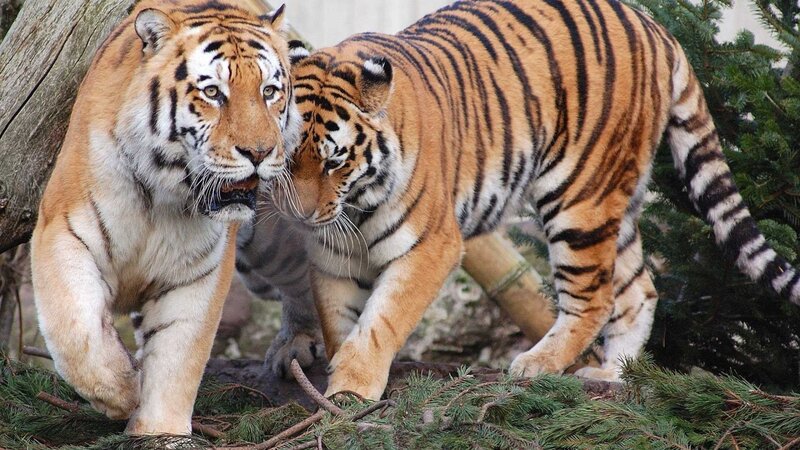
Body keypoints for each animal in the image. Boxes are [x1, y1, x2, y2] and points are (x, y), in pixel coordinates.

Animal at [30, 0, 301, 435]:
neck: (164, 193)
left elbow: (178, 356)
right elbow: (76, 329)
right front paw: (122, 391)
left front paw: (160, 431)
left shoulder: (199, 272)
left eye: (269, 92)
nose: (259, 152)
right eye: (213, 93)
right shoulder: (63, 230)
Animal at [274, 0, 800, 400]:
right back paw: (612, 375)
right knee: (639, 289)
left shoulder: (430, 246)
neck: (354, 204)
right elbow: (339, 321)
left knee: (595, 298)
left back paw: (536, 365)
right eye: (287, 156)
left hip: (579, 198)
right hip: (617, 200)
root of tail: (653, 26)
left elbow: (380, 321)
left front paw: (352, 388)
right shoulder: (333, 255)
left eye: (334, 161)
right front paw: (336, 381)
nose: (299, 216)